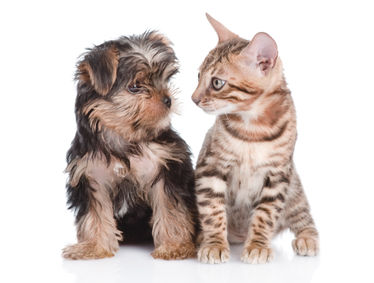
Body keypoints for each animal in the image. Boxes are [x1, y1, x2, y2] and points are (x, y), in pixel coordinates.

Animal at [63, 32, 199, 260]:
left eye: (164, 80)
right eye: (135, 86)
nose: (167, 99)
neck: (124, 138)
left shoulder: (166, 166)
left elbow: (170, 208)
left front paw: (174, 246)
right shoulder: (91, 174)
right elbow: (94, 213)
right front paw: (93, 247)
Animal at [193, 14, 318, 266]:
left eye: (217, 83)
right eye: (198, 76)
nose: (194, 98)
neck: (253, 128)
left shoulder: (278, 174)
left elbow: (265, 214)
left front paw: (258, 246)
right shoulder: (211, 166)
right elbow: (212, 210)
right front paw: (214, 244)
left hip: (294, 189)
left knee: (303, 215)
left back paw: (307, 238)